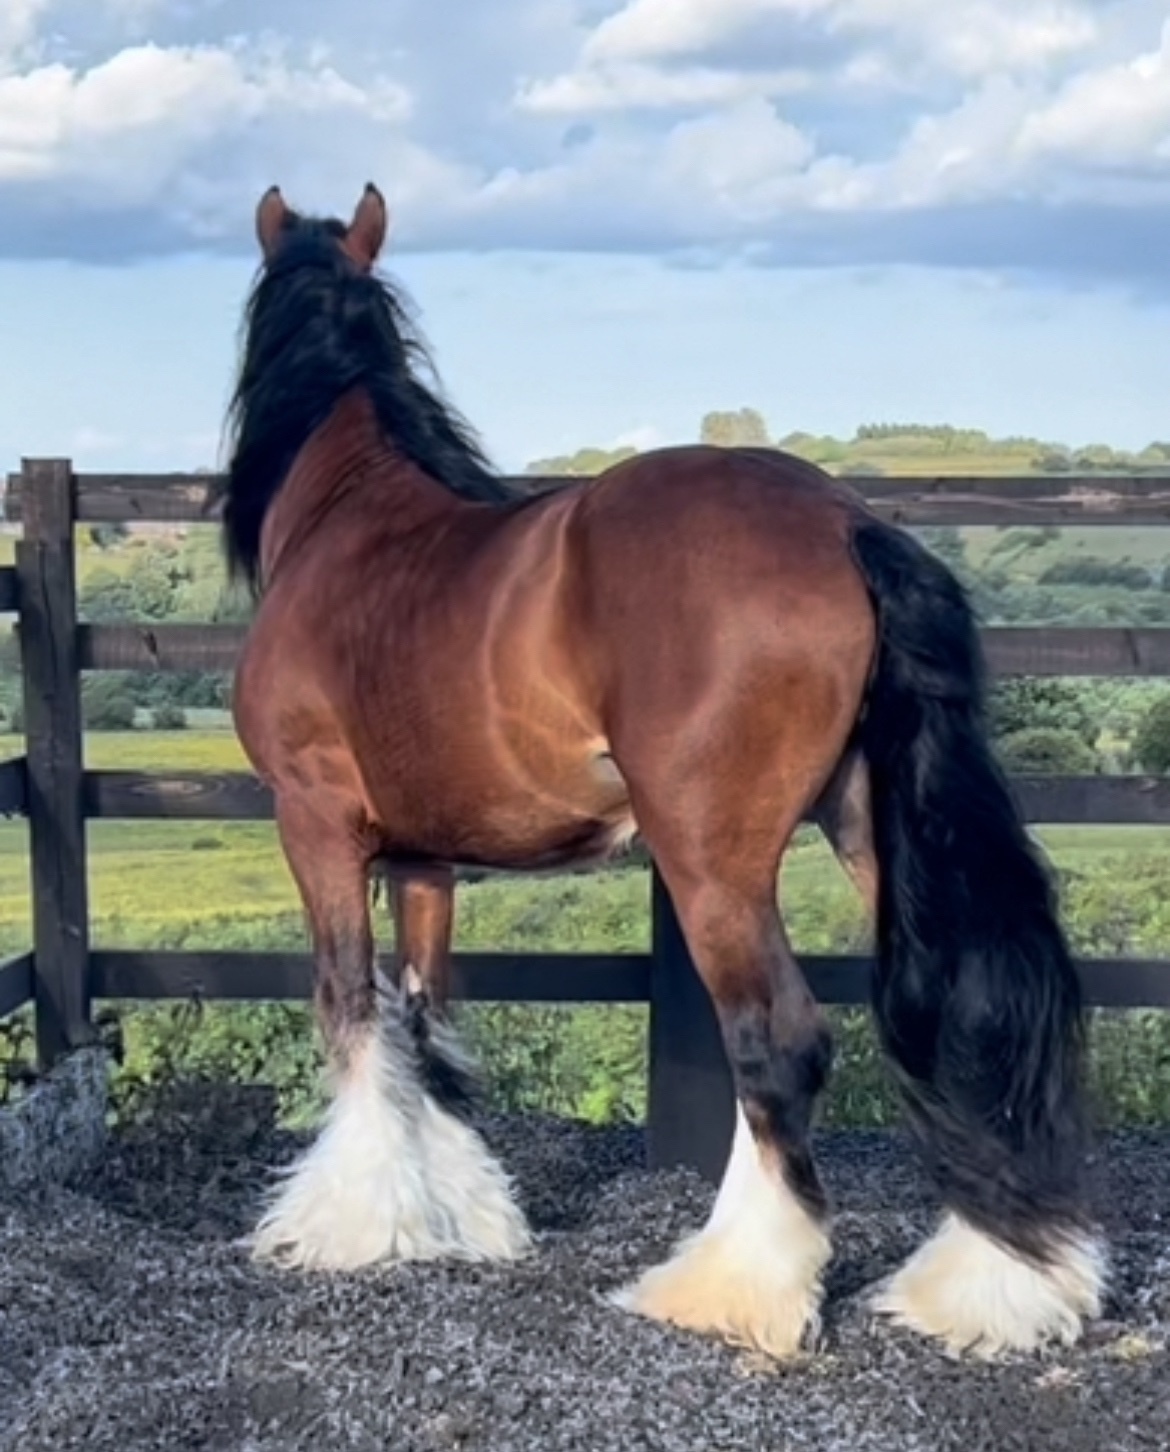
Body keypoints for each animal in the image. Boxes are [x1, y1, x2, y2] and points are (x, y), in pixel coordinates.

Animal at [210, 180, 1107, 1363]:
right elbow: (426, 1021)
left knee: (777, 1040)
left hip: (709, 859)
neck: (347, 521)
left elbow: (350, 1010)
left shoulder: (314, 828)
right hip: (871, 830)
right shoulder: (425, 862)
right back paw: (996, 1287)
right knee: (952, 1011)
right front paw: (463, 1215)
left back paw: (733, 1286)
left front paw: (348, 1223)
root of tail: (846, 523)